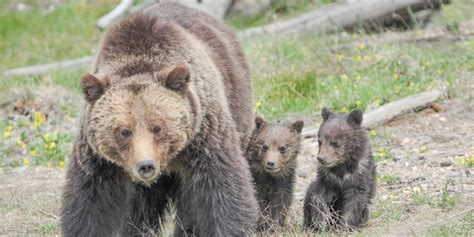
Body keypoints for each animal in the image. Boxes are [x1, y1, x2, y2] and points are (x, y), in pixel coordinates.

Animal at [61, 2, 260, 237]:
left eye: (157, 127)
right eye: (124, 132)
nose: (145, 165)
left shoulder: (204, 132)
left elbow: (222, 186)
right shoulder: (97, 156)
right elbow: (89, 200)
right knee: (140, 206)